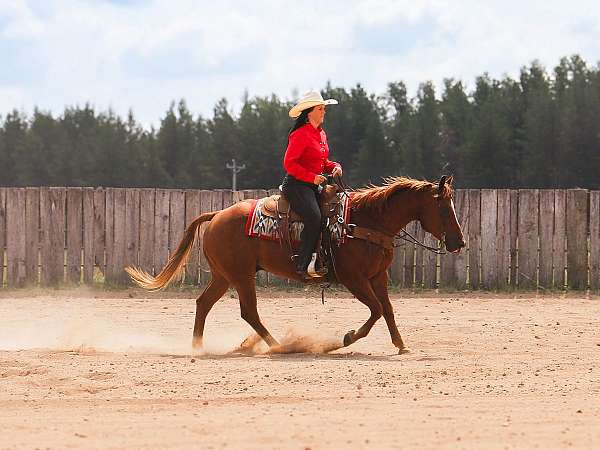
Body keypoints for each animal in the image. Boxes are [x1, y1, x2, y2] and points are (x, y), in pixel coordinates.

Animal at [125, 174, 464, 354]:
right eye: (444, 209)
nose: (459, 242)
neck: (364, 221)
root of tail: (217, 215)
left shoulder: (378, 277)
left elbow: (388, 310)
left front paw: (401, 345)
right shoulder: (354, 279)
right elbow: (377, 311)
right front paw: (345, 339)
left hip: (224, 276)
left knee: (203, 303)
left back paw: (198, 347)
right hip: (241, 276)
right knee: (248, 312)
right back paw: (278, 345)